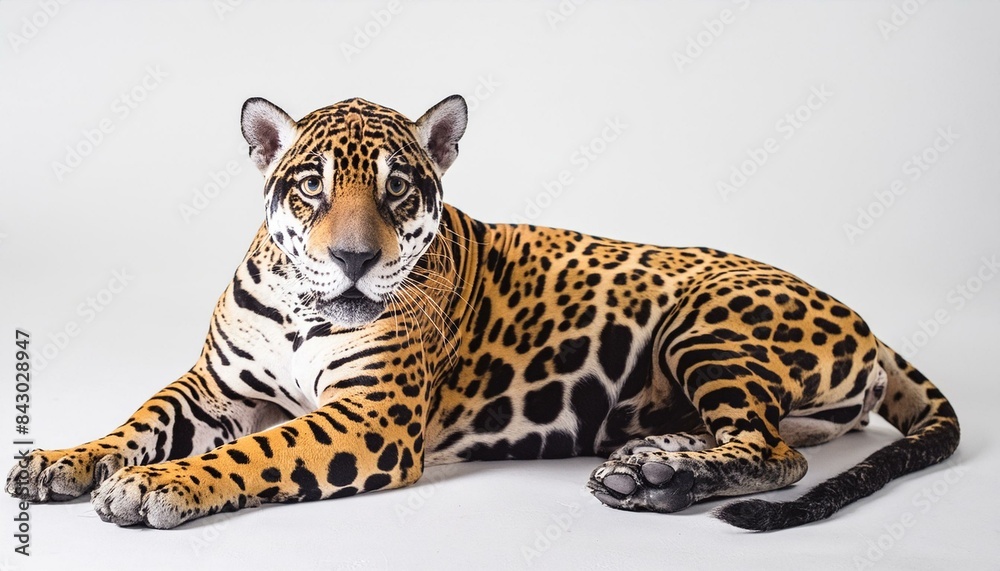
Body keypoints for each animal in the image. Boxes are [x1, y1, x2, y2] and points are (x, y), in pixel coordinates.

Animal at [5, 95, 959, 531]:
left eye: (398, 189)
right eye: (312, 187)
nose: (355, 258)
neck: (302, 308)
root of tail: (870, 321)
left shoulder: (370, 417)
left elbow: (256, 451)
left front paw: (160, 485)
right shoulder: (215, 388)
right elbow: (138, 418)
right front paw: (58, 460)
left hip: (708, 316)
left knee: (773, 451)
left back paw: (657, 482)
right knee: (765, 434)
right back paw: (648, 454)